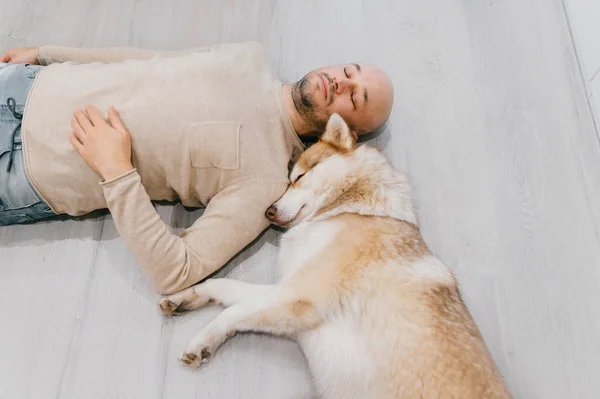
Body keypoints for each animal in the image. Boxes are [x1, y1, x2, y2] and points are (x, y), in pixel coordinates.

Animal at [159, 114, 510, 398]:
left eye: (299, 177)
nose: (267, 211)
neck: (349, 210)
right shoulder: (286, 289)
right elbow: (224, 286)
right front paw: (184, 299)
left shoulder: (298, 297)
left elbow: (232, 310)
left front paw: (202, 342)